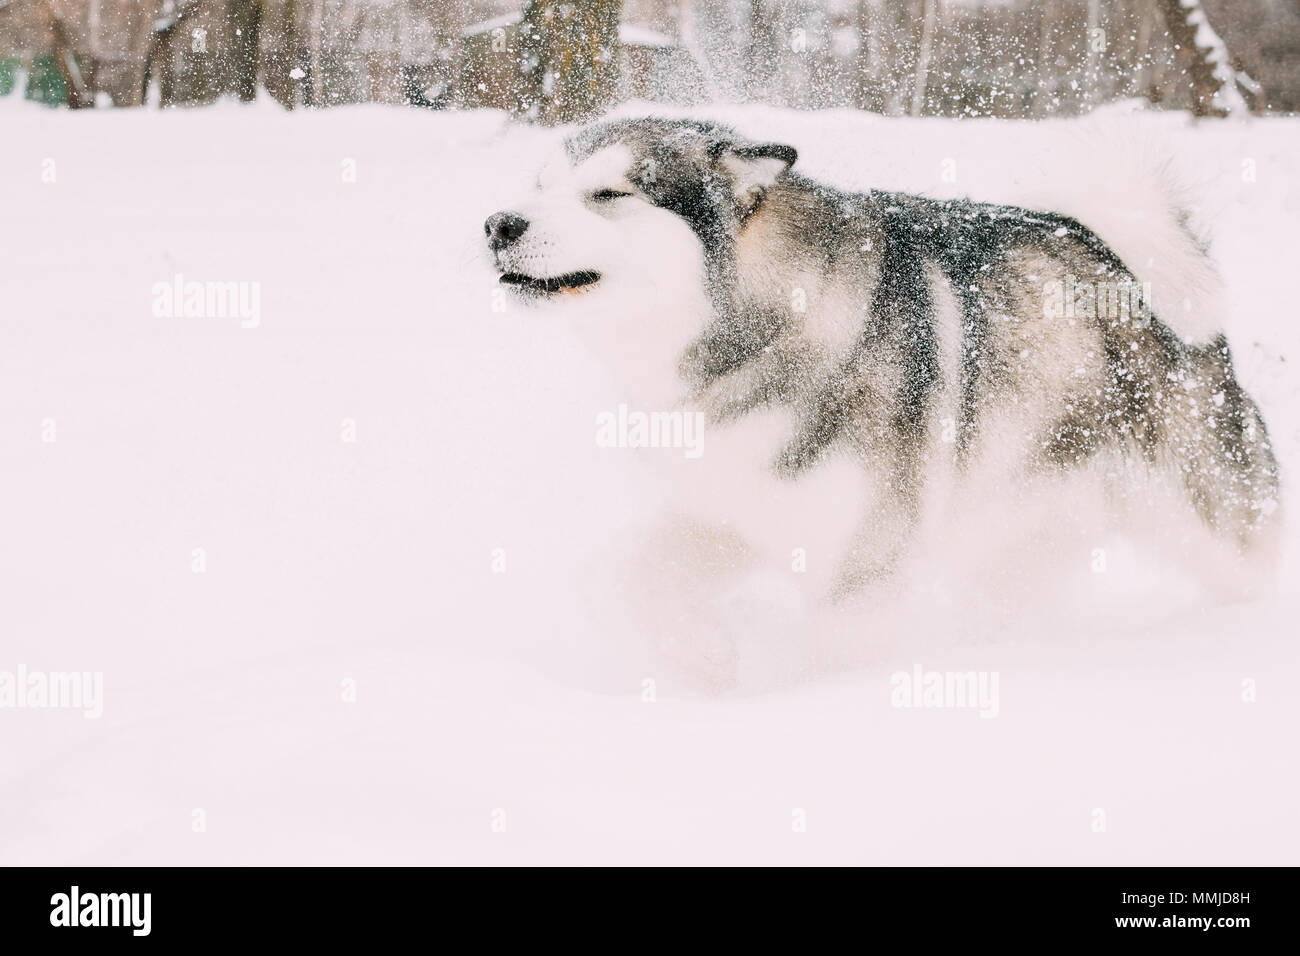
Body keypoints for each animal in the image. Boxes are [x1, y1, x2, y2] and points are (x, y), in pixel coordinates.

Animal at [486, 117, 1279, 606]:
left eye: (609, 193)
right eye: (539, 186)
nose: (499, 222)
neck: (762, 332)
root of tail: (1114, 252)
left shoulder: (862, 565)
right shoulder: (731, 508)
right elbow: (631, 584)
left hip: (1207, 520)